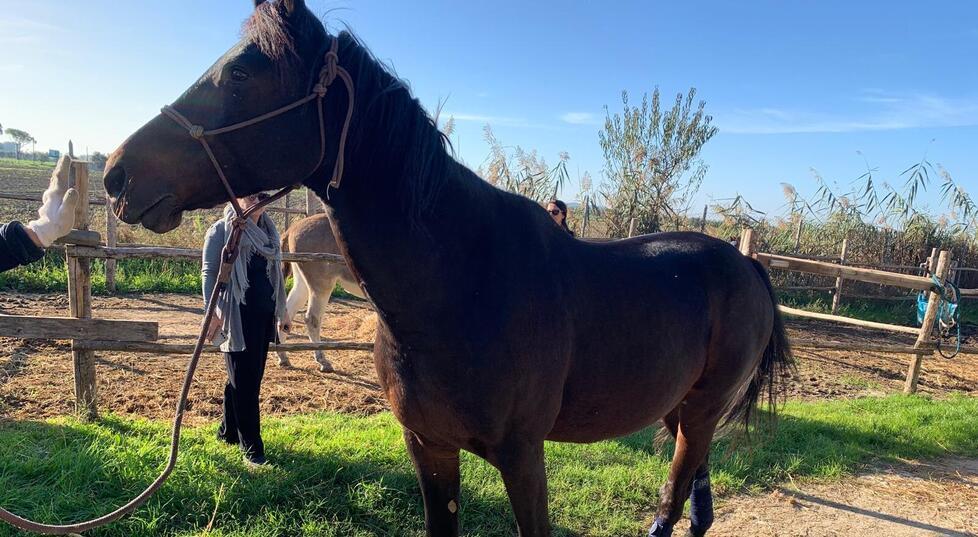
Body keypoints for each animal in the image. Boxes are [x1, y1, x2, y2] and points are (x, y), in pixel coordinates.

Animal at [277, 213, 365, 371]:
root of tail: (292, 228)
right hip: (321, 286)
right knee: (312, 318)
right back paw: (322, 360)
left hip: (301, 284)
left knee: (288, 313)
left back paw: (283, 356)